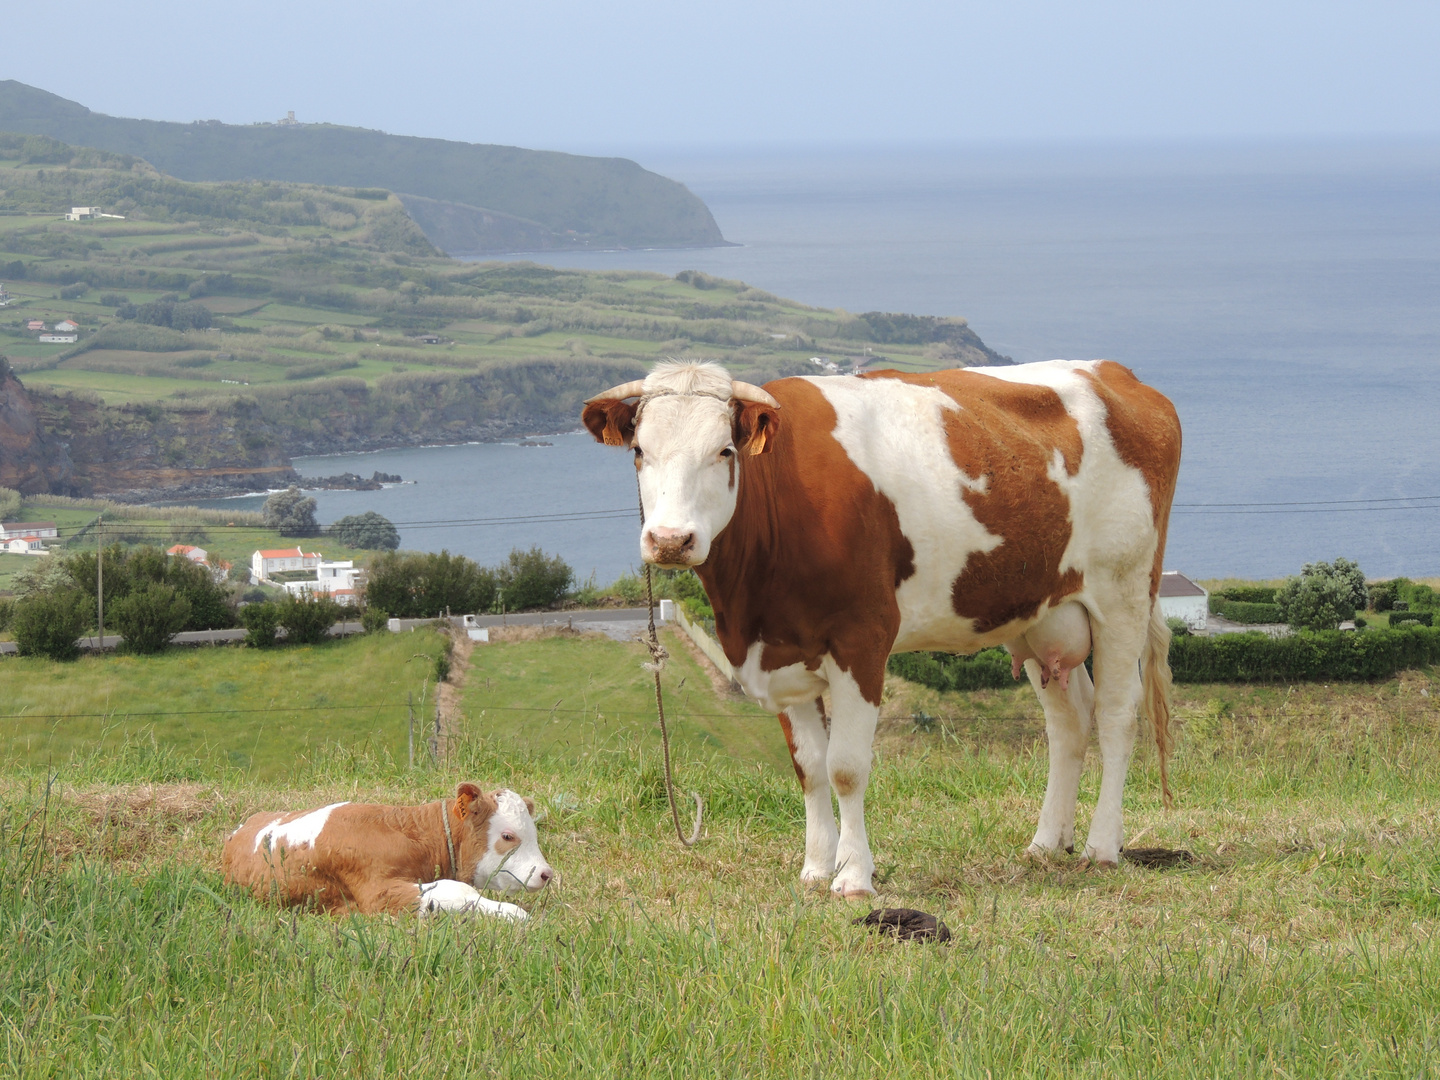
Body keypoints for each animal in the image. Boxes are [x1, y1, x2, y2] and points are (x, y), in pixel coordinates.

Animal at [584, 360, 1180, 898]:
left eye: (724, 451)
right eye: (640, 452)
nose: (669, 540)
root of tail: (1119, 374)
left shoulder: (862, 638)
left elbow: (846, 767)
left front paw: (853, 878)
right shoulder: (780, 651)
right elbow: (809, 768)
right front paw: (815, 869)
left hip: (1123, 591)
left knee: (1116, 716)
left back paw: (1102, 847)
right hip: (1040, 613)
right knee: (1068, 721)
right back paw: (1046, 843)